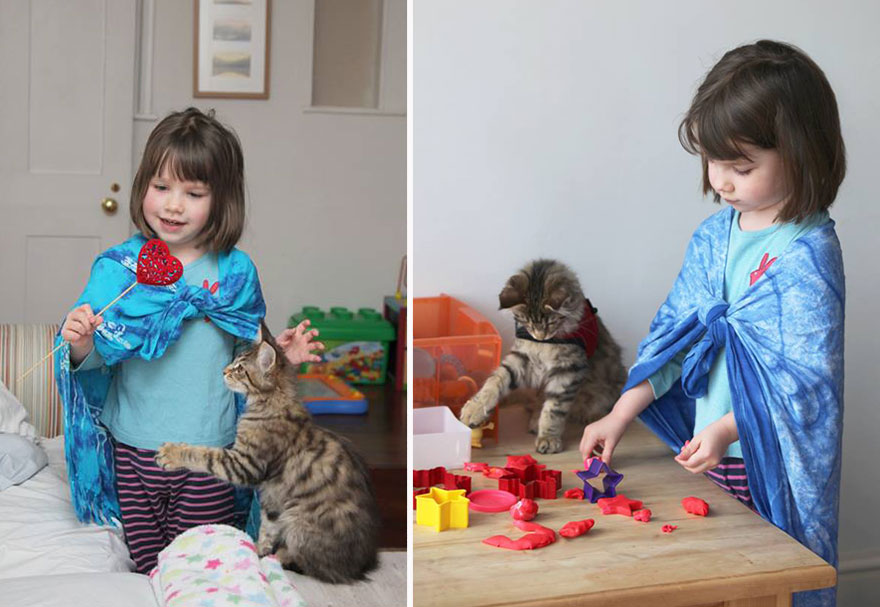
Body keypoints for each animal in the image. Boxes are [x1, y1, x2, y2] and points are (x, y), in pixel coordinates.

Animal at [156, 326, 380, 580]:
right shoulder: (271, 496)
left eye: (240, 369)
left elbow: (205, 455)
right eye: (234, 362)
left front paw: (172, 453)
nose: (224, 371)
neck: (269, 402)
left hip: (297, 518)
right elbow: (268, 527)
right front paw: (257, 549)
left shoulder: (244, 464)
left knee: (313, 565)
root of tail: (361, 565)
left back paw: (283, 556)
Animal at [460, 258, 624, 454]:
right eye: (526, 321)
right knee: (534, 404)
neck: (544, 345)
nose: (539, 336)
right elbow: (494, 382)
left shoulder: (568, 370)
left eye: (551, 322)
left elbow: (554, 409)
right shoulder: (521, 360)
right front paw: (474, 409)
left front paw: (548, 438)